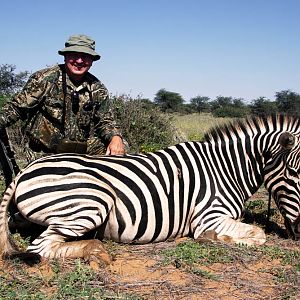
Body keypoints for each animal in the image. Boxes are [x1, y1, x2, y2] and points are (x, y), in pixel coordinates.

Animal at [0, 113, 298, 262]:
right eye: (294, 173)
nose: (298, 231)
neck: (224, 169)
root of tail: (25, 169)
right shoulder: (208, 217)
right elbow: (258, 234)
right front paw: (216, 238)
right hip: (92, 202)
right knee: (39, 248)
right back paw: (96, 252)